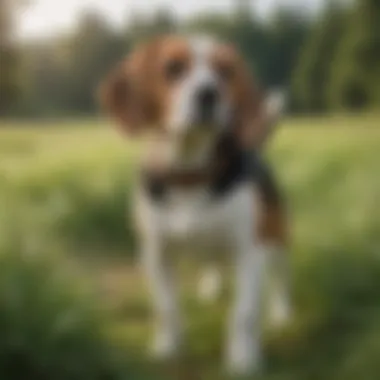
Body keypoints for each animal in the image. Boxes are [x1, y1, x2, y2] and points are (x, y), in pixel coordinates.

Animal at [97, 35, 288, 378]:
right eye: (173, 68)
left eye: (226, 71)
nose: (209, 94)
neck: (188, 174)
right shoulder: (155, 253)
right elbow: (167, 308)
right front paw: (168, 348)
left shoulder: (249, 251)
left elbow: (244, 313)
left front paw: (243, 360)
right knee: (212, 264)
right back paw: (211, 288)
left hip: (276, 236)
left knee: (280, 280)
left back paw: (283, 314)